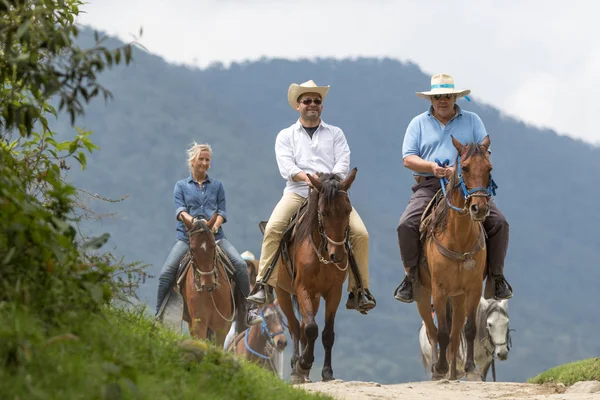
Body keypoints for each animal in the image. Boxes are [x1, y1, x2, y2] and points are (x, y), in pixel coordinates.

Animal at [276, 166, 356, 384]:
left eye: (348, 210)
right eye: (323, 212)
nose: (337, 255)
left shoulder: (334, 292)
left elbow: (327, 333)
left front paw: (327, 372)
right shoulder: (301, 287)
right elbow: (311, 328)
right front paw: (303, 364)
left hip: (315, 297)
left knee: (302, 326)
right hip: (282, 293)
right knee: (296, 327)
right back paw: (297, 367)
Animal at [414, 137, 494, 382]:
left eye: (489, 168)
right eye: (464, 168)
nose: (479, 208)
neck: (459, 238)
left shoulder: (473, 289)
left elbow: (468, 329)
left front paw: (470, 367)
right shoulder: (439, 290)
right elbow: (441, 331)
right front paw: (439, 367)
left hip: (457, 297)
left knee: (455, 332)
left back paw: (452, 372)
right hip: (423, 295)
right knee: (432, 331)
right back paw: (438, 371)